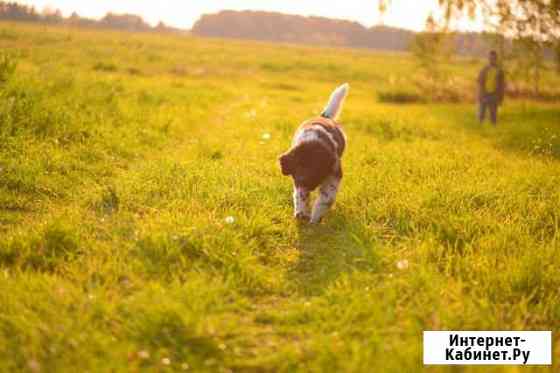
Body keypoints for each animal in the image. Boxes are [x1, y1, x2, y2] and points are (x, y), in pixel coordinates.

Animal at [278, 83, 348, 224]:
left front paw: (315, 218)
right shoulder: (298, 180)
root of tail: (323, 116)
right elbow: (300, 196)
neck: (313, 142)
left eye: (316, 169)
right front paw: (301, 213)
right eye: (298, 166)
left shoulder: (333, 174)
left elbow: (326, 198)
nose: (305, 183)